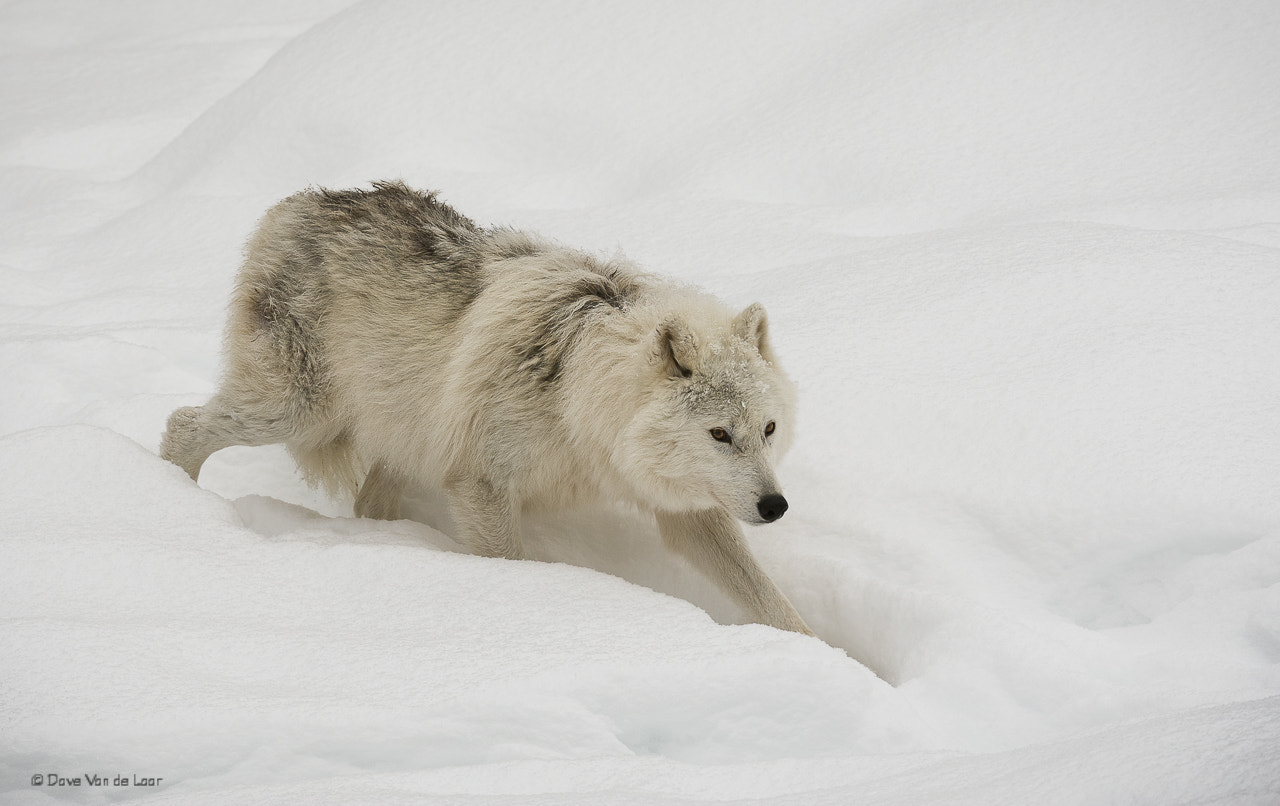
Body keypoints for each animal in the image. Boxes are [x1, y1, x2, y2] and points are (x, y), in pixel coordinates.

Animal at [161, 181, 811, 635]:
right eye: (720, 434)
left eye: (768, 429)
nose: (776, 506)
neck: (578, 395)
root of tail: (295, 205)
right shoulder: (482, 482)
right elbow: (509, 562)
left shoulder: (687, 509)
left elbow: (769, 598)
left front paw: (813, 652)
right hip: (297, 413)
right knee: (182, 425)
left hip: (400, 439)